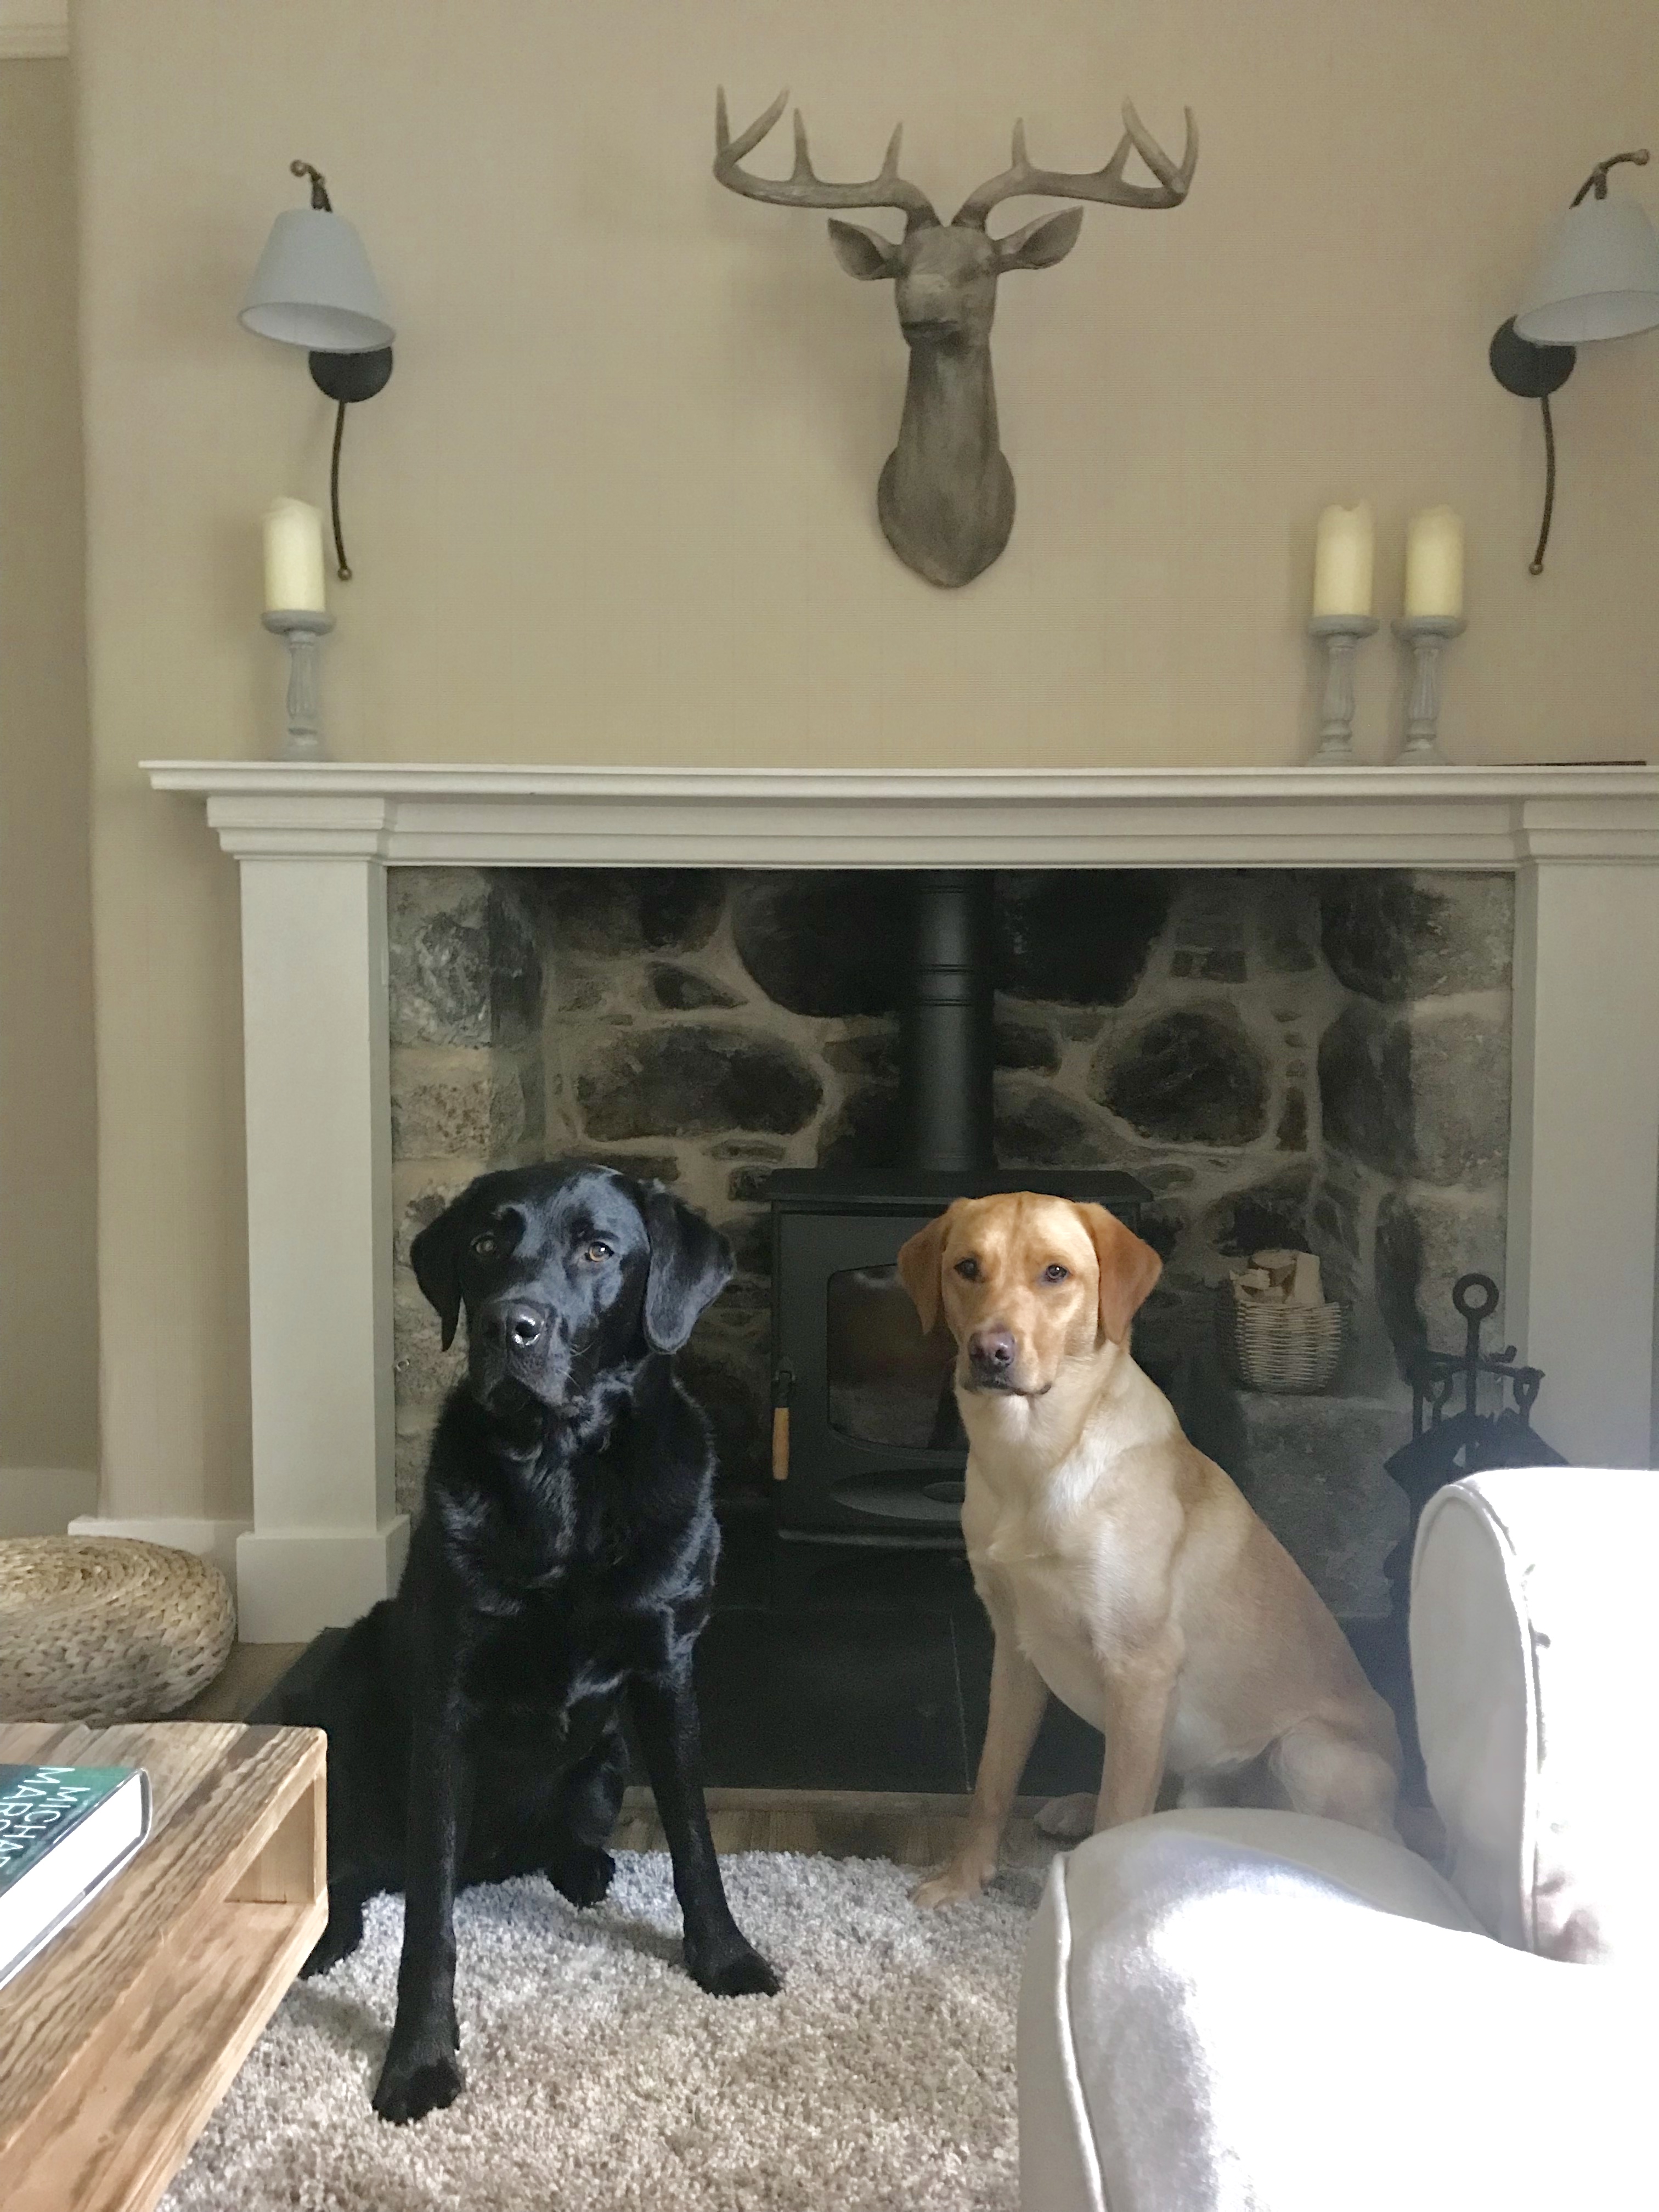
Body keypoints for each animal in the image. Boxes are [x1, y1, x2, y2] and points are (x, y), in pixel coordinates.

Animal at [274, 1161, 778, 2125]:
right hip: (349, 1683)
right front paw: (419, 2059)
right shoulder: (447, 1700)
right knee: (351, 1867)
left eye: (598, 1250)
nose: (510, 1324)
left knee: (562, 1832)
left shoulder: (667, 1670)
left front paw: (725, 1958)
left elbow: (695, 1840)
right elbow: (427, 1923)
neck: (562, 1471)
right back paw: (328, 1935)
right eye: (483, 1243)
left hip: (608, 1755)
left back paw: (582, 1865)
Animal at [896, 1193, 1401, 1908]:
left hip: (1308, 1751)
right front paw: (962, 1881)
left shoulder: (1142, 1668)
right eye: (967, 1267)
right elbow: (993, 1782)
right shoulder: (1016, 1653)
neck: (1033, 1460)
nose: (989, 1351)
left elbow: (1121, 1814)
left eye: (1056, 1273)